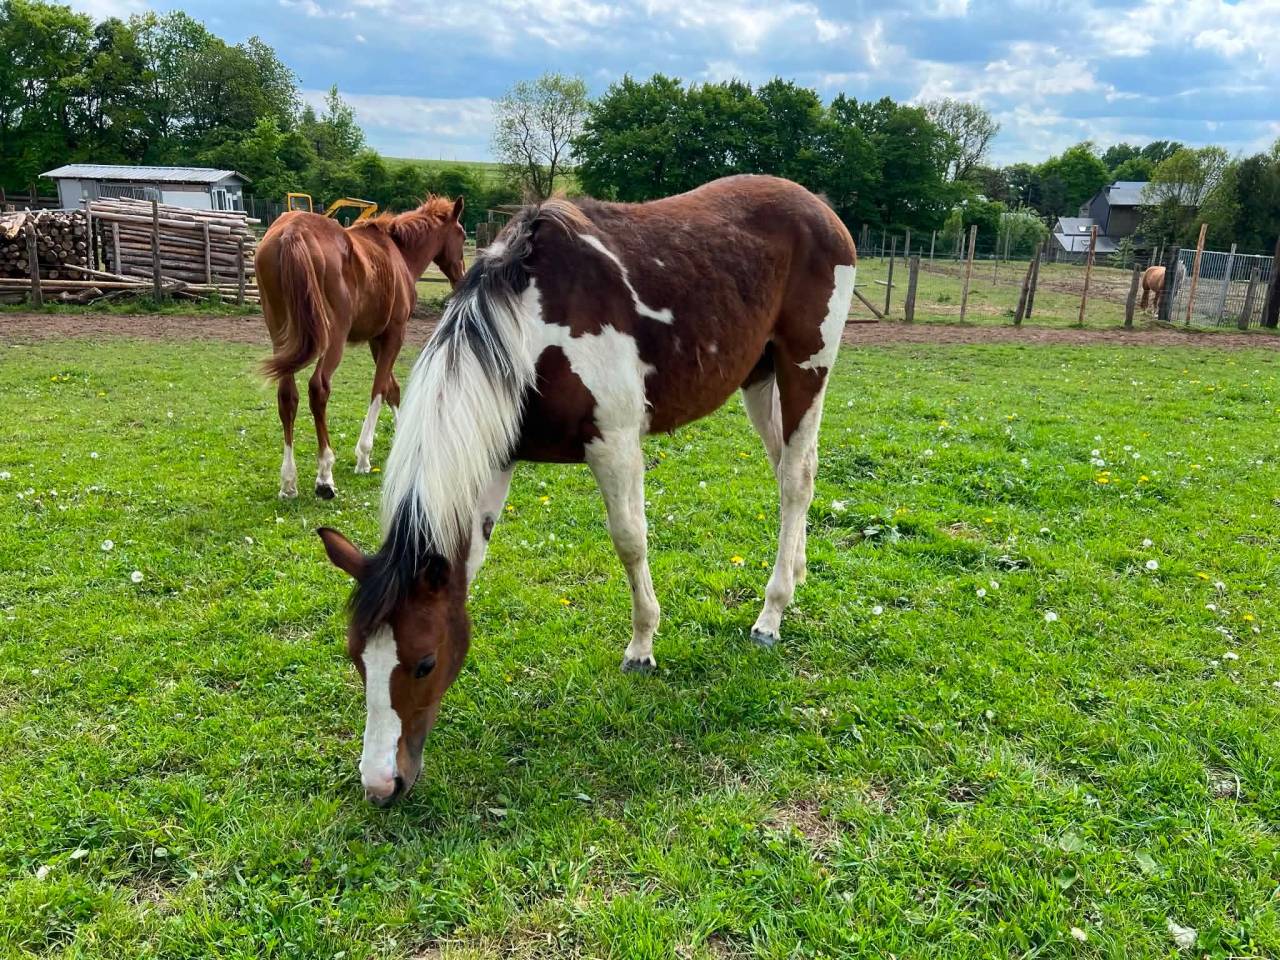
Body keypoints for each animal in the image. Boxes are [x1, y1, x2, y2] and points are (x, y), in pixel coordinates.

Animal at [258, 196, 467, 499]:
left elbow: (392, 388)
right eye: (462, 234)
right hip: (333, 338)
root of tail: (292, 232)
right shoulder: (394, 333)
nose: (462, 277)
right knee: (318, 389)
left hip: (282, 338)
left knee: (287, 397)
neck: (398, 253)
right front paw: (364, 456)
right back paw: (325, 476)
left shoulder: (375, 338)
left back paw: (288, 481)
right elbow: (379, 388)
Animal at [315, 175, 857, 806]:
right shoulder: (497, 457)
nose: (380, 783)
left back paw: (771, 614)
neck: (528, 324)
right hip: (759, 376)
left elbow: (630, 540)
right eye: (357, 656)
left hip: (805, 370)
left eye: (424, 662)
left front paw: (642, 646)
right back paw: (795, 574)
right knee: (789, 471)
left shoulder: (615, 442)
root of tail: (821, 210)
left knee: (795, 480)